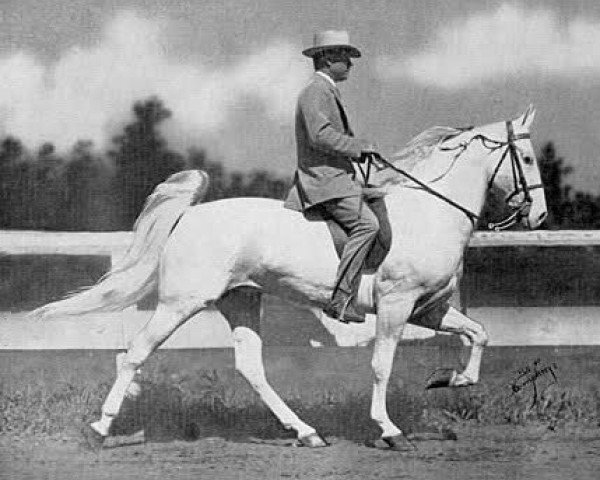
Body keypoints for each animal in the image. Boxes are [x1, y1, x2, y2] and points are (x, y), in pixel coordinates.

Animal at [34, 105, 548, 450]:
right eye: (525, 157)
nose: (539, 216)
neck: (430, 212)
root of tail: (189, 215)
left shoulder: (431, 309)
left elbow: (479, 334)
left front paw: (450, 380)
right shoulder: (397, 305)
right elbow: (382, 365)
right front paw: (389, 430)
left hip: (241, 300)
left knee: (251, 367)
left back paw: (306, 432)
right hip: (181, 303)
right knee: (135, 354)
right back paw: (100, 428)